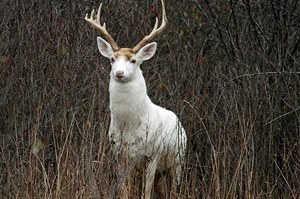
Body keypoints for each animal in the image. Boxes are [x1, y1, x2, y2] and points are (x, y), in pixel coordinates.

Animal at [84, 0, 186, 198]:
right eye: (112, 59)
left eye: (133, 61)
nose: (119, 73)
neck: (129, 125)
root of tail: (179, 123)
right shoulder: (120, 154)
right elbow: (123, 189)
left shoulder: (153, 154)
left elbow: (145, 192)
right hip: (163, 170)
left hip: (178, 159)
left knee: (175, 188)